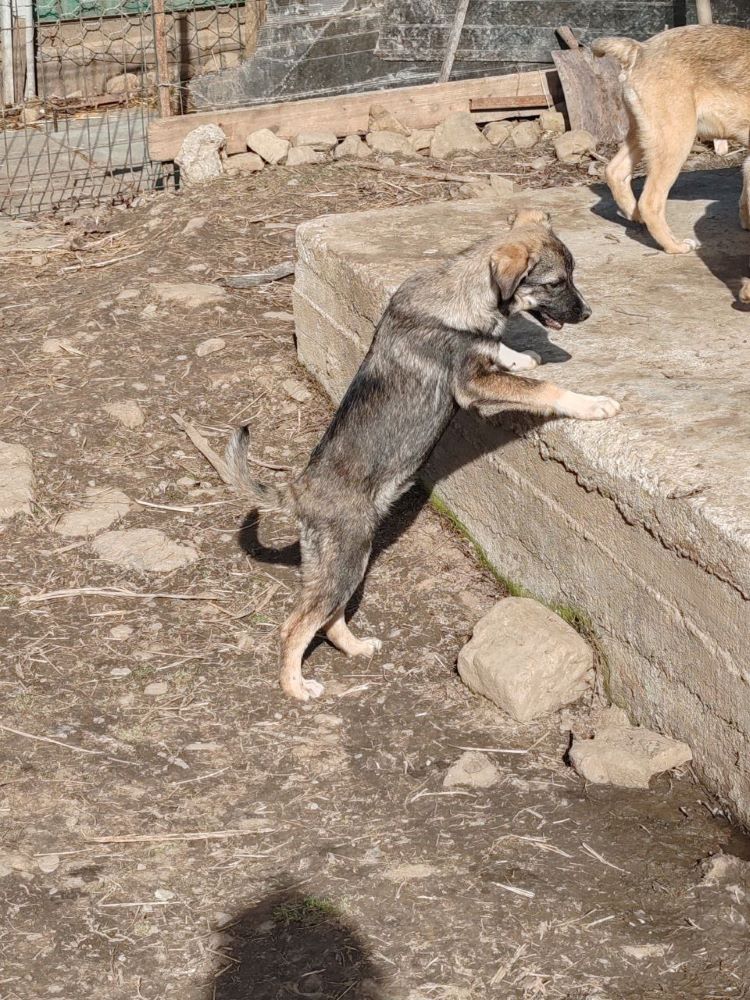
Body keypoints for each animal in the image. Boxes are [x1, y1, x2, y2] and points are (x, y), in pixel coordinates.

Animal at [228, 207, 624, 700]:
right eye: (556, 282)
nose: (587, 312)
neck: (464, 293)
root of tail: (298, 490)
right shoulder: (472, 385)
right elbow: (543, 388)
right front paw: (592, 404)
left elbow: (500, 349)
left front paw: (520, 355)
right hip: (347, 557)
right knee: (296, 624)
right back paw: (296, 686)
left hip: (342, 562)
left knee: (329, 616)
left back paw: (356, 647)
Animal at [592, 27, 750, 256]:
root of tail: (640, 49)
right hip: (676, 140)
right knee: (650, 201)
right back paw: (674, 246)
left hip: (644, 135)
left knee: (615, 171)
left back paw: (635, 215)